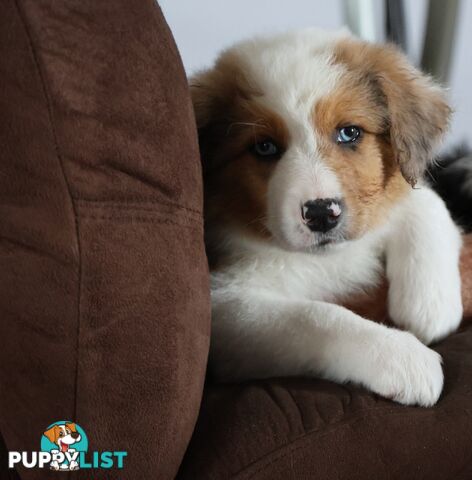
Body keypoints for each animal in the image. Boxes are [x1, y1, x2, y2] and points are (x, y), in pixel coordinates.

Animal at [190, 29, 462, 404]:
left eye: (349, 132)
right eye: (264, 147)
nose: (321, 214)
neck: (326, 259)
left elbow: (423, 199)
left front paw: (429, 304)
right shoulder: (225, 310)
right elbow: (316, 315)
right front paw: (403, 357)